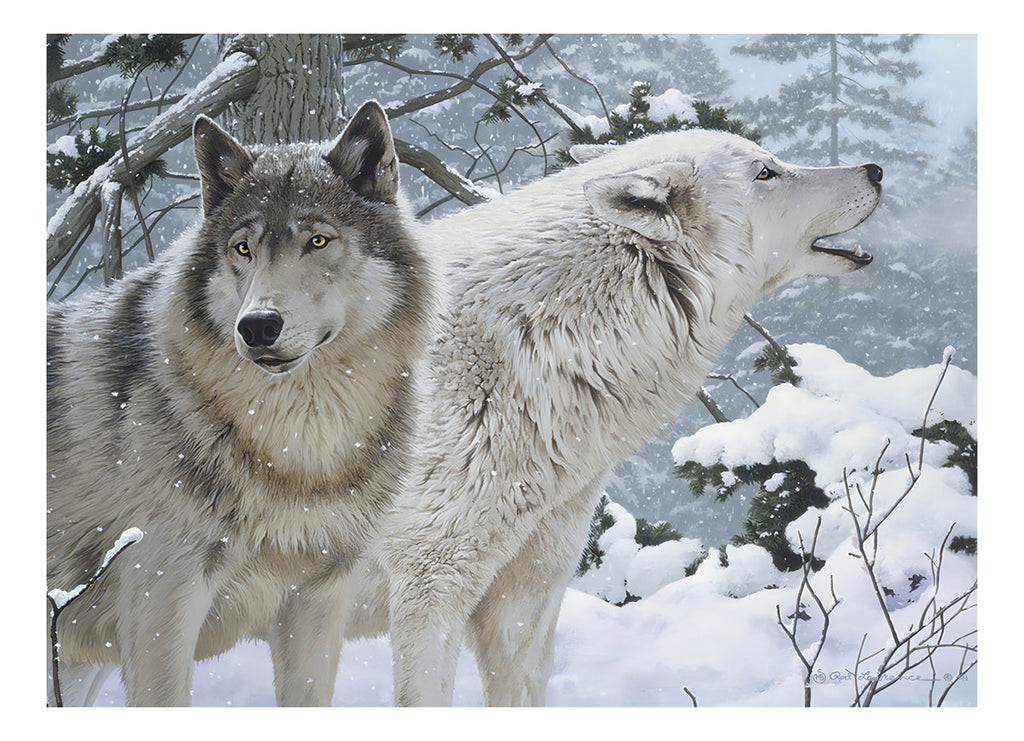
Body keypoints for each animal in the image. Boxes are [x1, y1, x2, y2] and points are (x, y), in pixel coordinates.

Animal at [46, 101, 433, 706]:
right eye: (243, 247)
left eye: (318, 241)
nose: (257, 326)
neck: (300, 449)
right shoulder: (163, 599)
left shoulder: (320, 593)